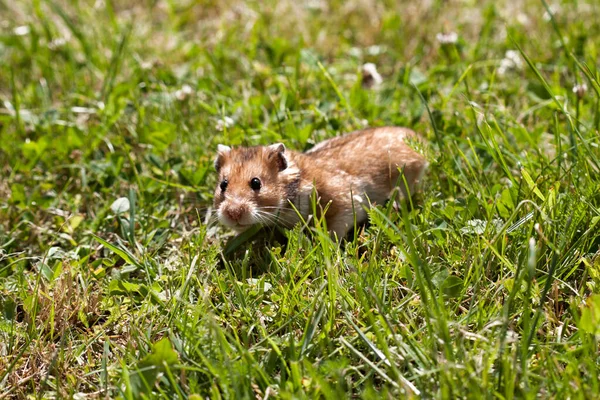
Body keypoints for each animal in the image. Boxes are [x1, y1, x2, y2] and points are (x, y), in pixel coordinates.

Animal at [212, 126, 426, 238]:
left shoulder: (344, 202)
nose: (232, 214)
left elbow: (333, 230)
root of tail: (420, 141)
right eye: (223, 185)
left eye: (256, 183)